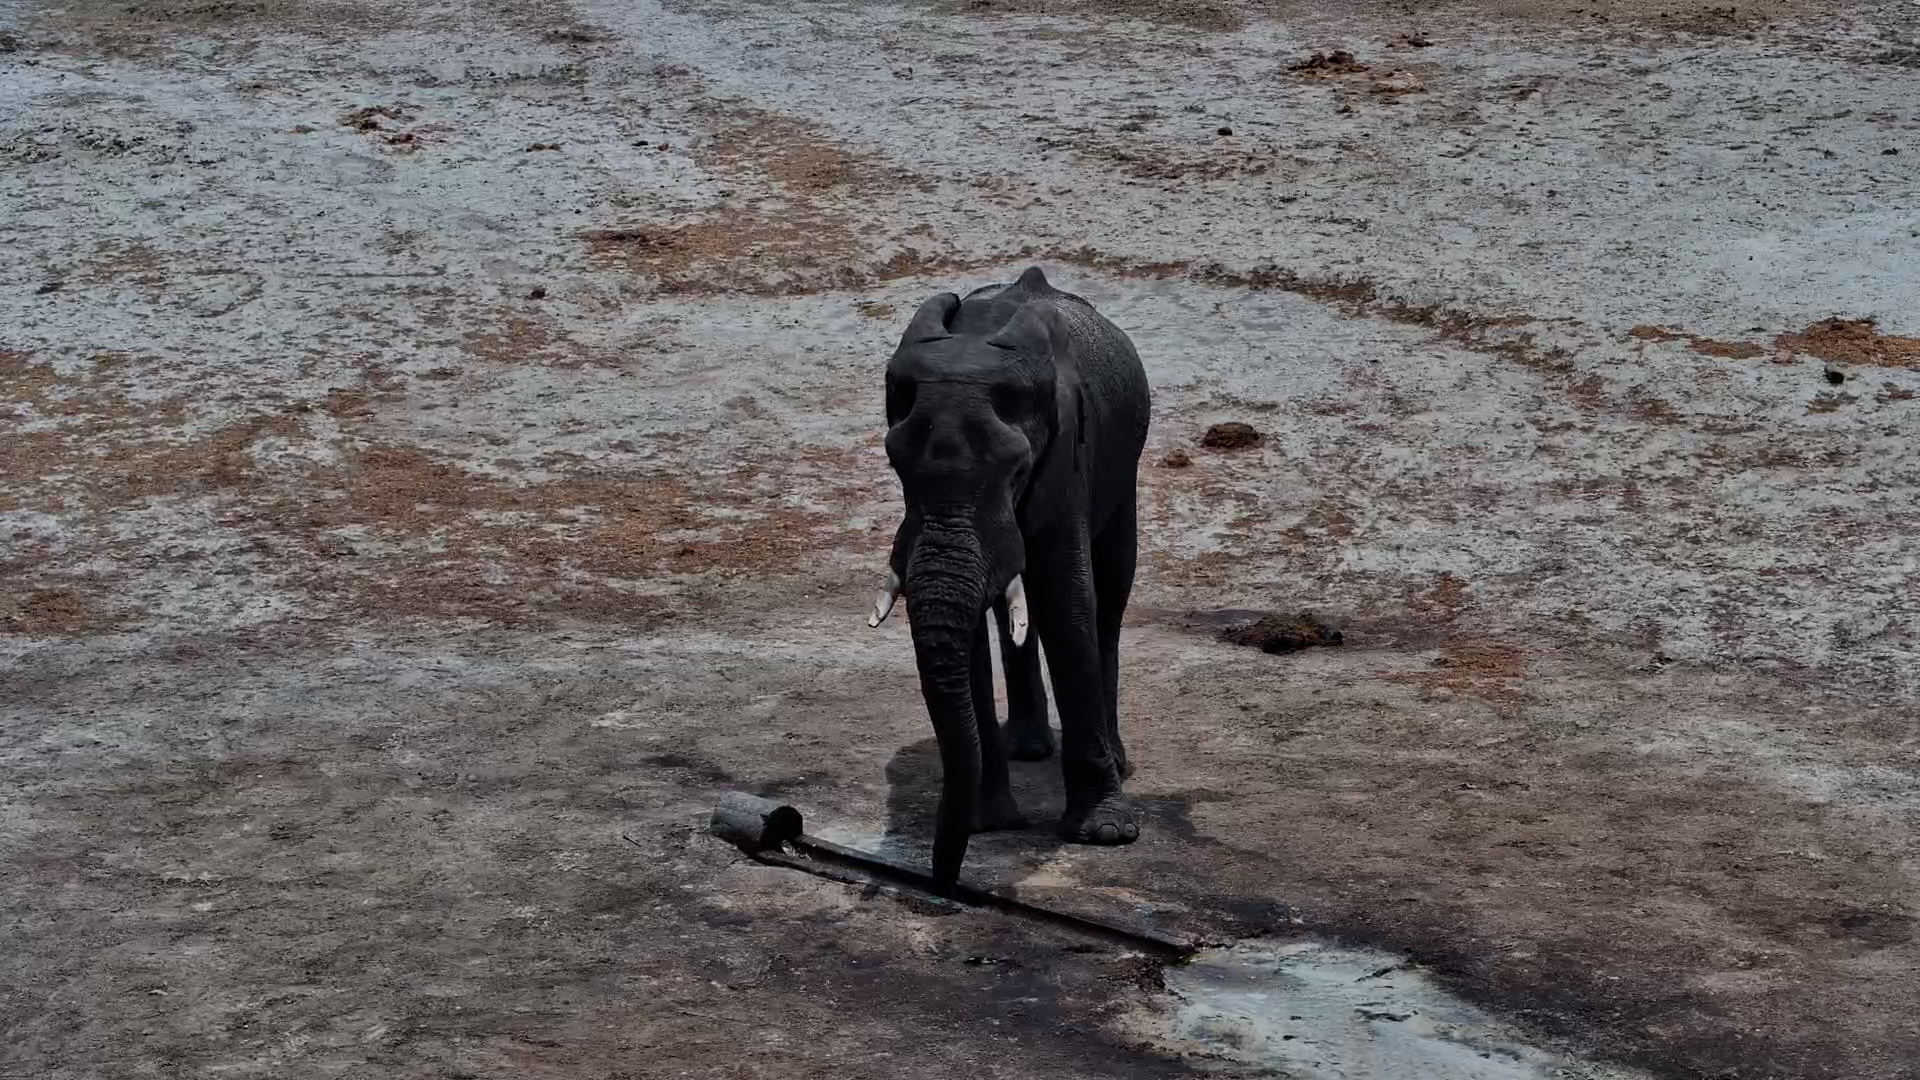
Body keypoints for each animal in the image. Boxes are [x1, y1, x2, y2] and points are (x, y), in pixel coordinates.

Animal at [866, 266, 1151, 894]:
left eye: (1019, 470)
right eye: (895, 464)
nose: (944, 883)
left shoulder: (1067, 461)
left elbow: (1069, 603)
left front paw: (1104, 834)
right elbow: (972, 625)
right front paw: (985, 822)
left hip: (1125, 469)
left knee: (1111, 593)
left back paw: (1115, 762)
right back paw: (1028, 749)